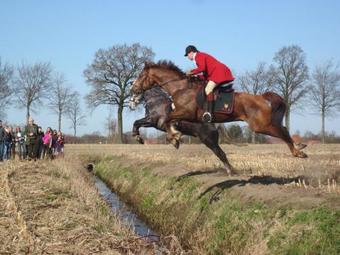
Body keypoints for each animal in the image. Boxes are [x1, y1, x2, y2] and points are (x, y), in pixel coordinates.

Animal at [130, 60, 308, 173]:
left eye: (140, 76)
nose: (132, 90)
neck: (180, 88)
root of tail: (262, 98)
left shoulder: (177, 114)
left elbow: (167, 120)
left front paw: (174, 138)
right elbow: (146, 123)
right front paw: (170, 137)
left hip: (260, 125)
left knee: (282, 131)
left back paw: (297, 151)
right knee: (282, 128)